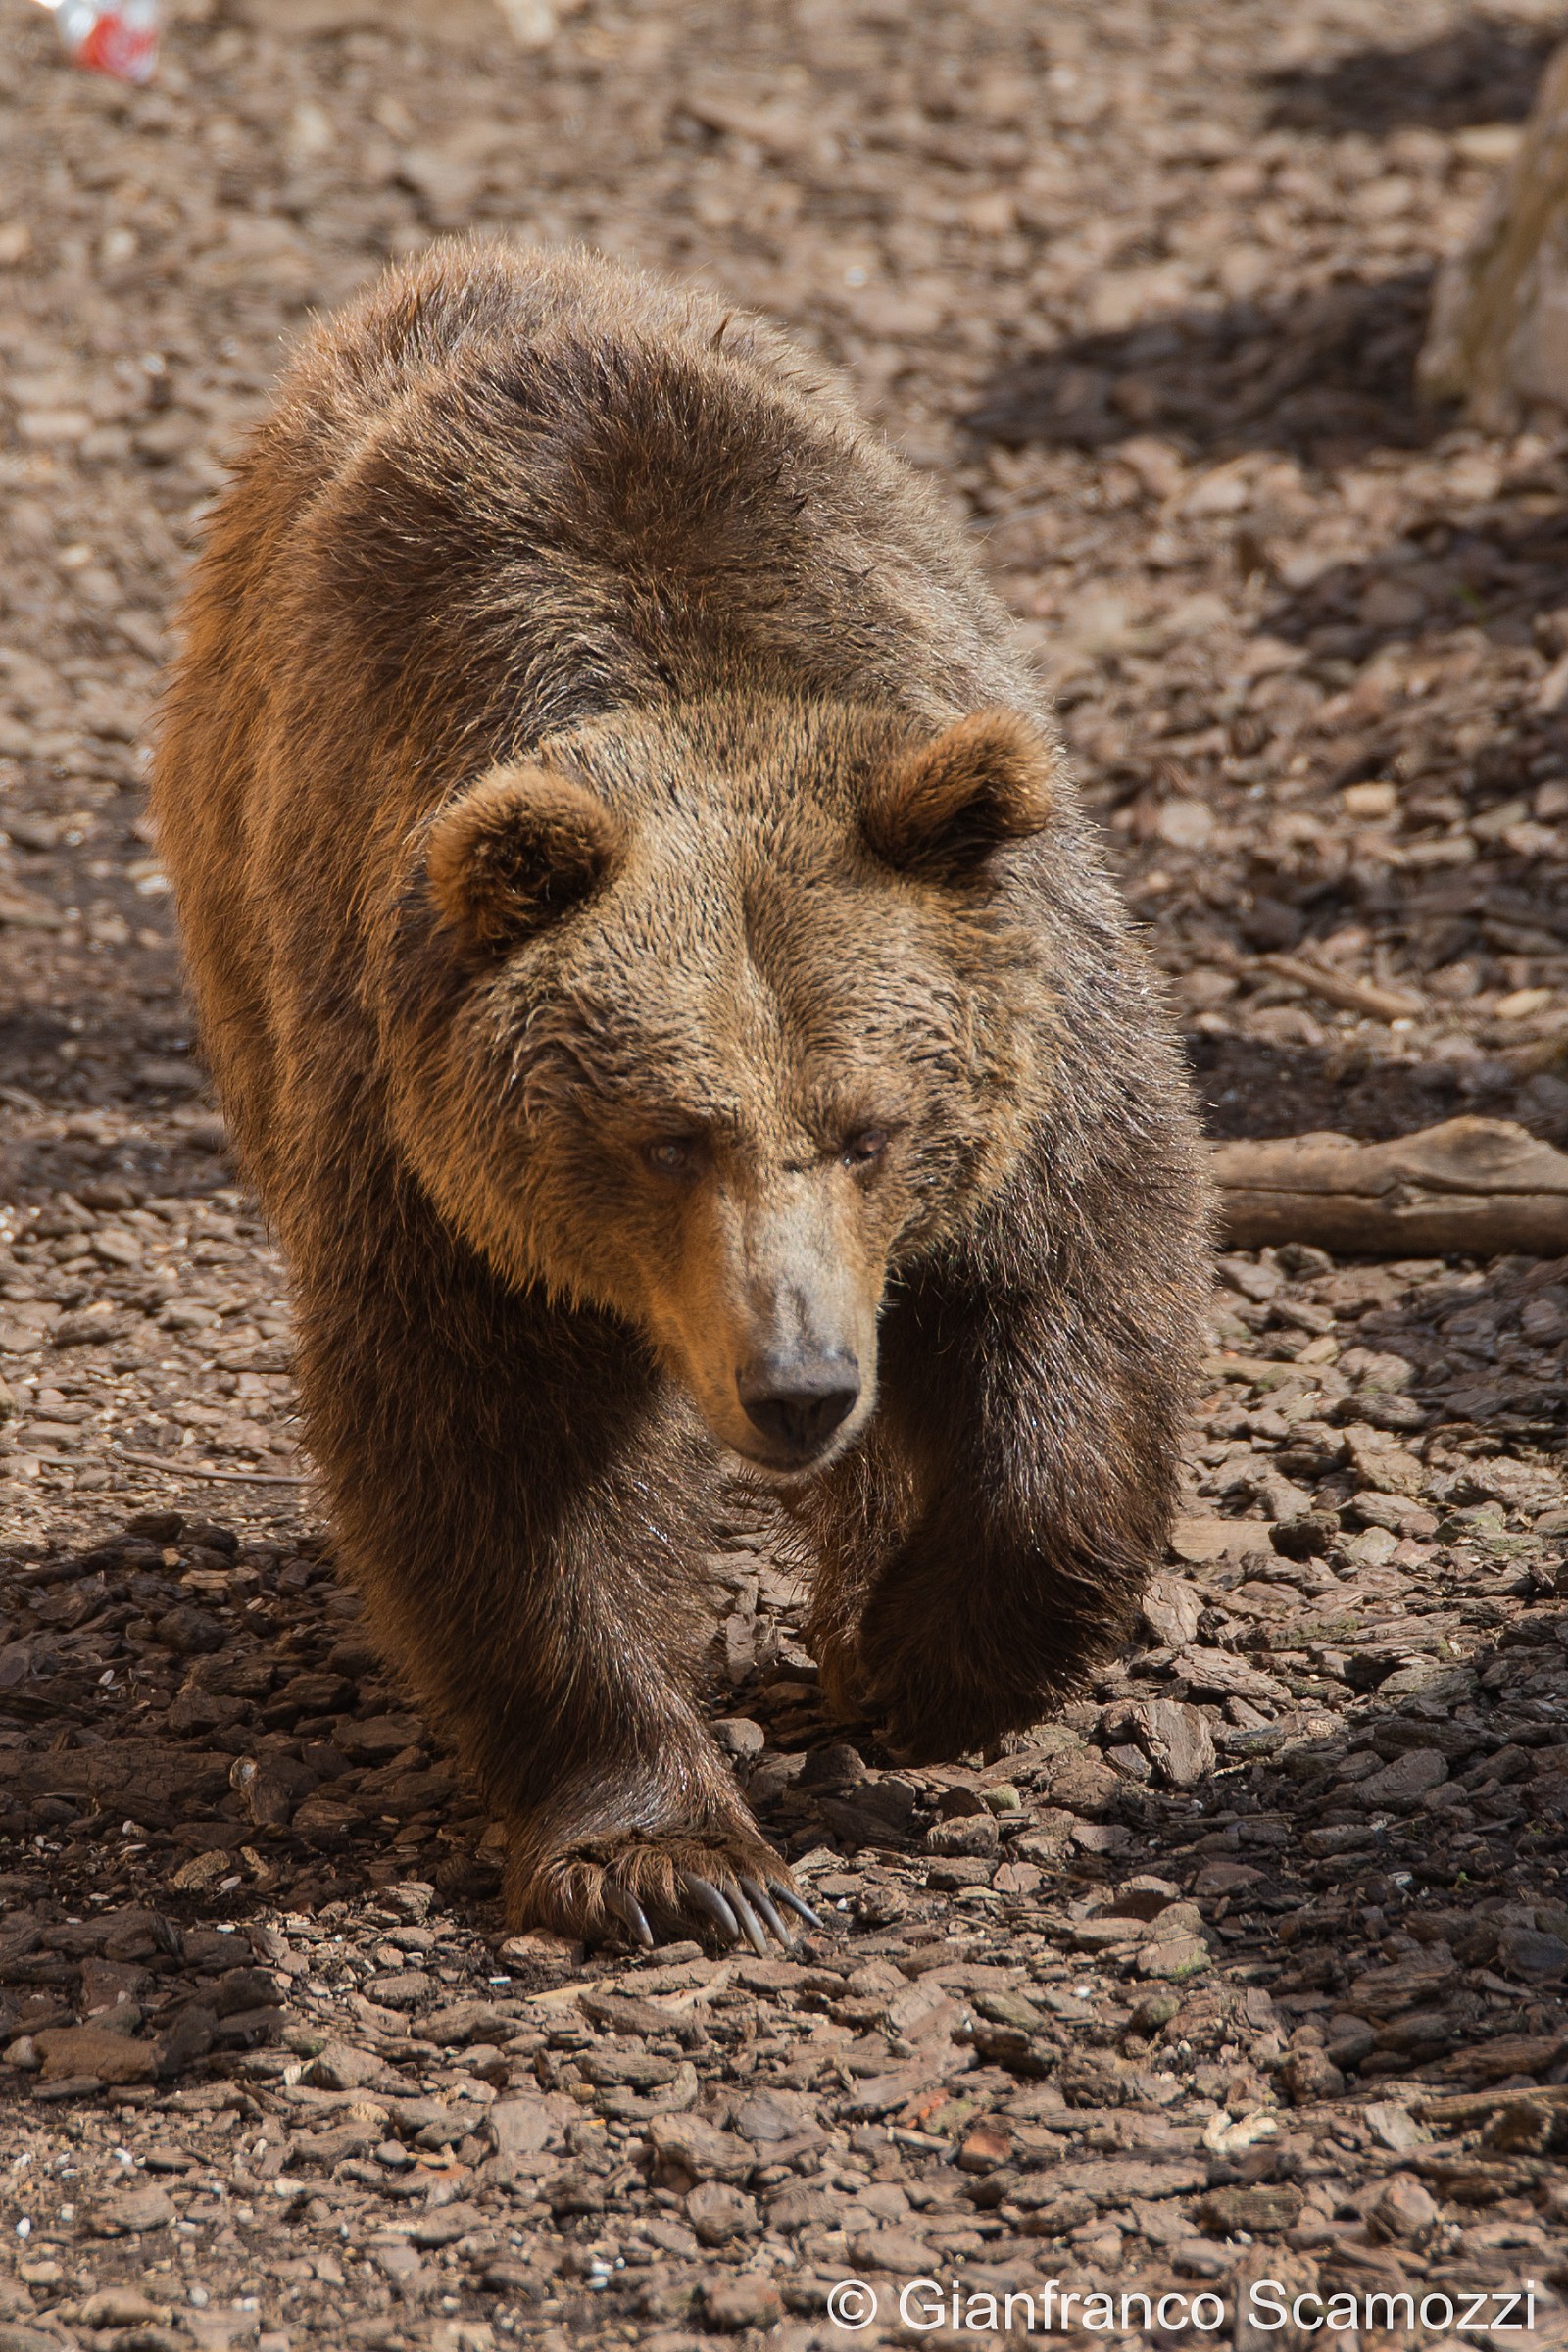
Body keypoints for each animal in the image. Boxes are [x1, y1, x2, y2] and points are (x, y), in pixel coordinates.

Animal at [151, 240, 1211, 1952]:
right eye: (666, 1138)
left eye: (872, 1128)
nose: (798, 1386)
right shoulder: (429, 1145)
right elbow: (498, 1454)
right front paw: (674, 1857)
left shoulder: (1035, 1057)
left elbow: (1077, 1301)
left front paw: (918, 1660)